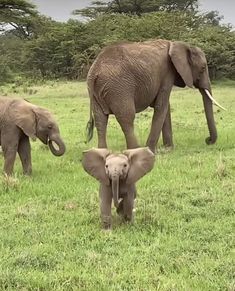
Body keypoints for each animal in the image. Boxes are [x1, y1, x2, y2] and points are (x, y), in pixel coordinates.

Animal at [86, 40, 224, 154]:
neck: (178, 44)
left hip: (98, 91)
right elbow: (161, 106)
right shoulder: (167, 73)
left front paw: (168, 148)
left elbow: (165, 107)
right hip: (119, 88)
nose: (207, 140)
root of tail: (95, 71)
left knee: (100, 119)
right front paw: (152, 150)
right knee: (126, 117)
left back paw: (102, 153)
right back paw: (136, 151)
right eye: (203, 68)